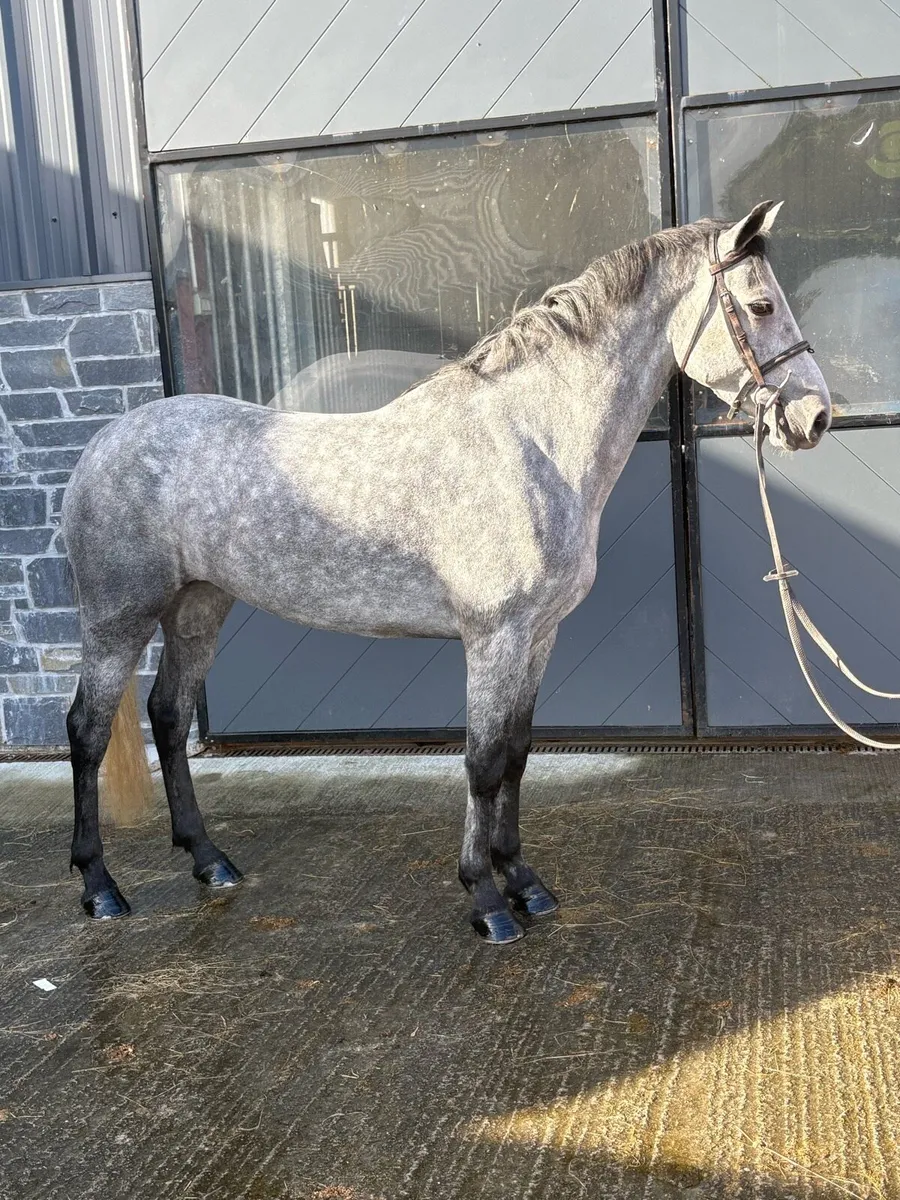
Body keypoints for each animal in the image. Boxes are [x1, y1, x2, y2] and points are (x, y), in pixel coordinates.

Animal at [62, 200, 831, 944]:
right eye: (761, 305)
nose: (816, 417)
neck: (532, 441)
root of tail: (103, 442)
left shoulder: (538, 636)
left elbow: (517, 754)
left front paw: (525, 883)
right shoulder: (495, 638)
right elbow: (481, 762)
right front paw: (486, 901)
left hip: (198, 607)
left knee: (168, 716)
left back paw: (209, 861)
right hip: (118, 620)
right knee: (87, 732)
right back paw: (100, 889)